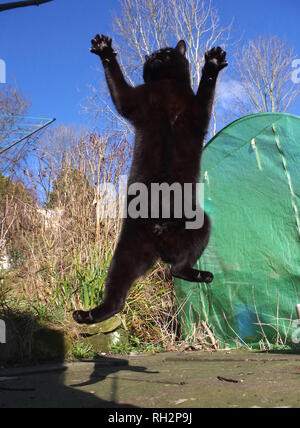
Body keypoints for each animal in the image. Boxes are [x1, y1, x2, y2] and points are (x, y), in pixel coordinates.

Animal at [73, 36, 227, 324]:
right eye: (153, 54)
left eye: (165, 52)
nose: (154, 55)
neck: (166, 86)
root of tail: (159, 236)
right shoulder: (135, 100)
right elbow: (118, 83)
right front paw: (104, 49)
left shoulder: (196, 109)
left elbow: (206, 86)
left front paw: (212, 62)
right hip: (127, 251)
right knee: (120, 296)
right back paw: (86, 315)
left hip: (198, 227)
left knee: (177, 268)